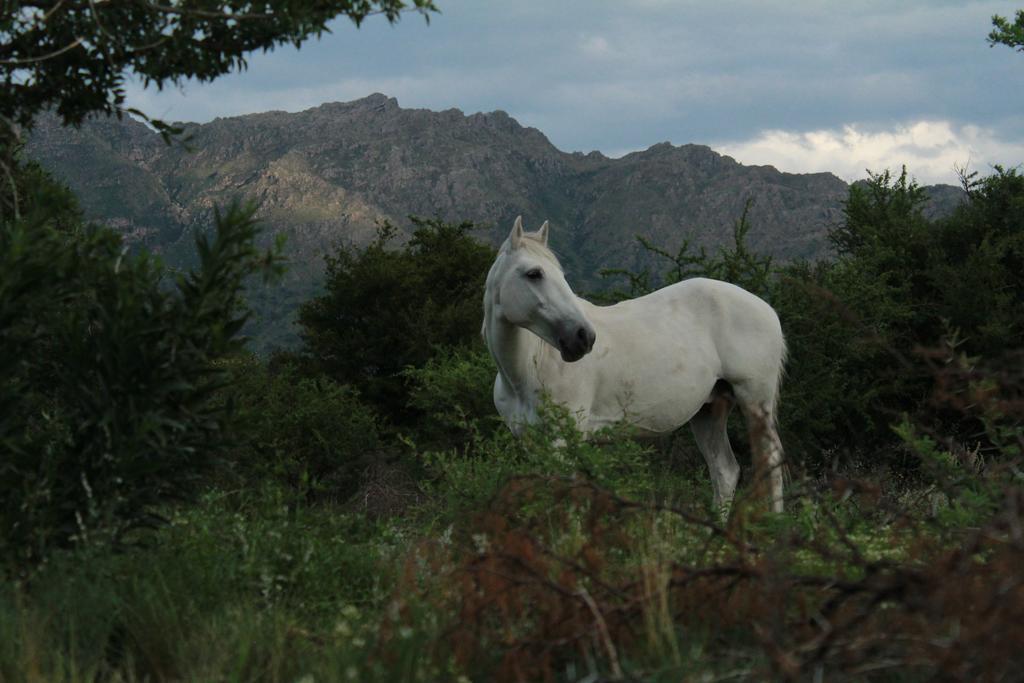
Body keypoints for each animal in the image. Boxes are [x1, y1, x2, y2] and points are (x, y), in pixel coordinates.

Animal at [483, 218, 786, 511]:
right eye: (534, 274)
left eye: (560, 274)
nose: (583, 337)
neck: (528, 369)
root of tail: (767, 309)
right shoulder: (530, 441)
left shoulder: (563, 439)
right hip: (709, 411)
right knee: (725, 472)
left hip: (755, 401)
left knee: (770, 465)